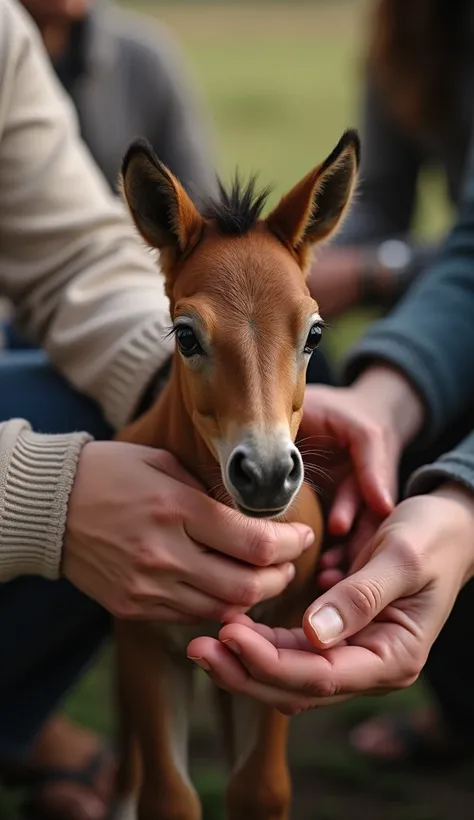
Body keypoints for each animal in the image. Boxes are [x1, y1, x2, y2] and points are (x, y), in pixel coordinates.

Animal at [113, 130, 362, 820]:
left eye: (314, 332)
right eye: (186, 335)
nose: (268, 473)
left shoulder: (278, 634)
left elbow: (259, 787)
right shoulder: (146, 644)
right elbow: (168, 795)